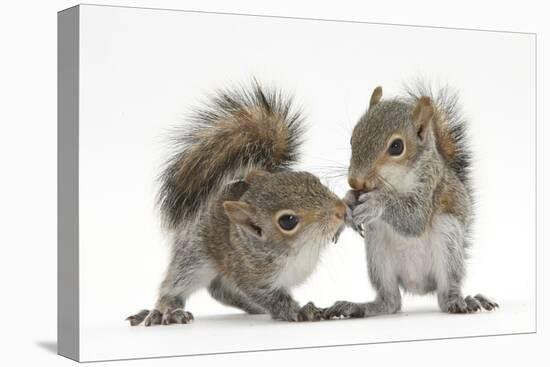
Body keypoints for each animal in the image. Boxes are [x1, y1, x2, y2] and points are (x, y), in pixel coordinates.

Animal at [127, 82, 348, 326]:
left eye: (312, 179)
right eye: (288, 221)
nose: (340, 210)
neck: (300, 250)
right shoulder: (250, 276)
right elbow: (271, 297)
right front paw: (298, 311)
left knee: (221, 290)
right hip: (195, 256)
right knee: (177, 284)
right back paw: (164, 310)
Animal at [324, 83, 500, 320]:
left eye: (397, 147)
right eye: (353, 138)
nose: (355, 181)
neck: (396, 180)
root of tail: (418, 285)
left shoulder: (430, 186)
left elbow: (414, 219)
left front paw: (376, 203)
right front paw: (348, 202)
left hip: (447, 239)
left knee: (445, 295)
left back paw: (462, 301)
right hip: (377, 249)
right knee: (390, 301)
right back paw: (357, 307)